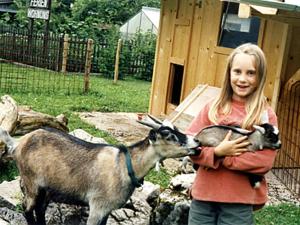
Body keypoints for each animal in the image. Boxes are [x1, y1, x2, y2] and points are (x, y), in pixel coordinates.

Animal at [0, 115, 202, 225]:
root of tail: (18, 143)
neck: (123, 165)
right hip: (31, 183)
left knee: (40, 210)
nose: (197, 142)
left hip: (47, 189)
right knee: (27, 209)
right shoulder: (97, 206)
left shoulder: (107, 209)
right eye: (168, 135)